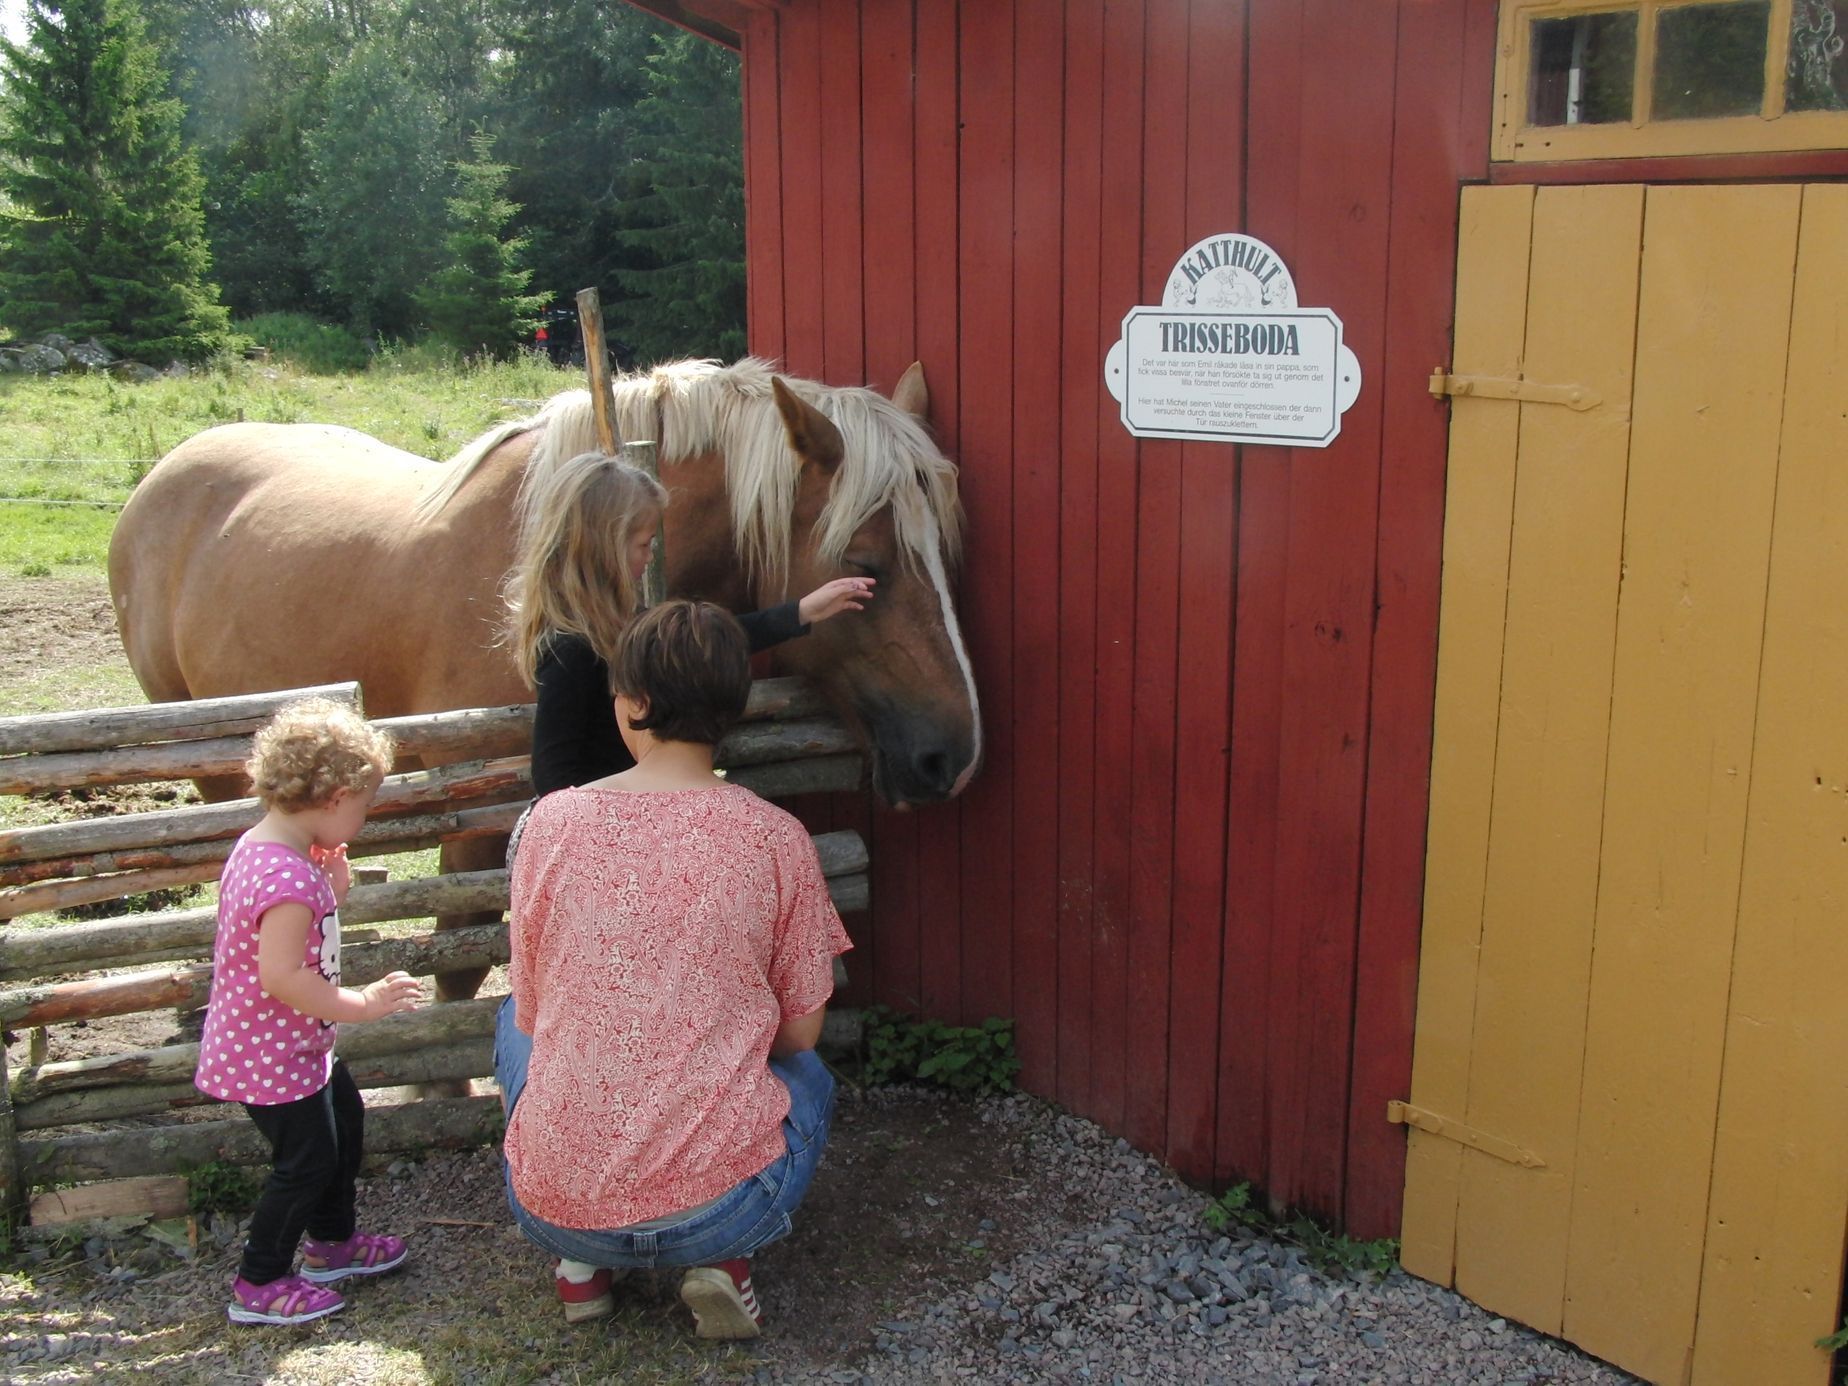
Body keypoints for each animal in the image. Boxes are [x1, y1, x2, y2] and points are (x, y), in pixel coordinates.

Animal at [108, 364, 983, 1005]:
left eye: (951, 555)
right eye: (865, 567)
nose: (955, 757)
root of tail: (165, 472)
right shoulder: (473, 813)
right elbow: (461, 957)